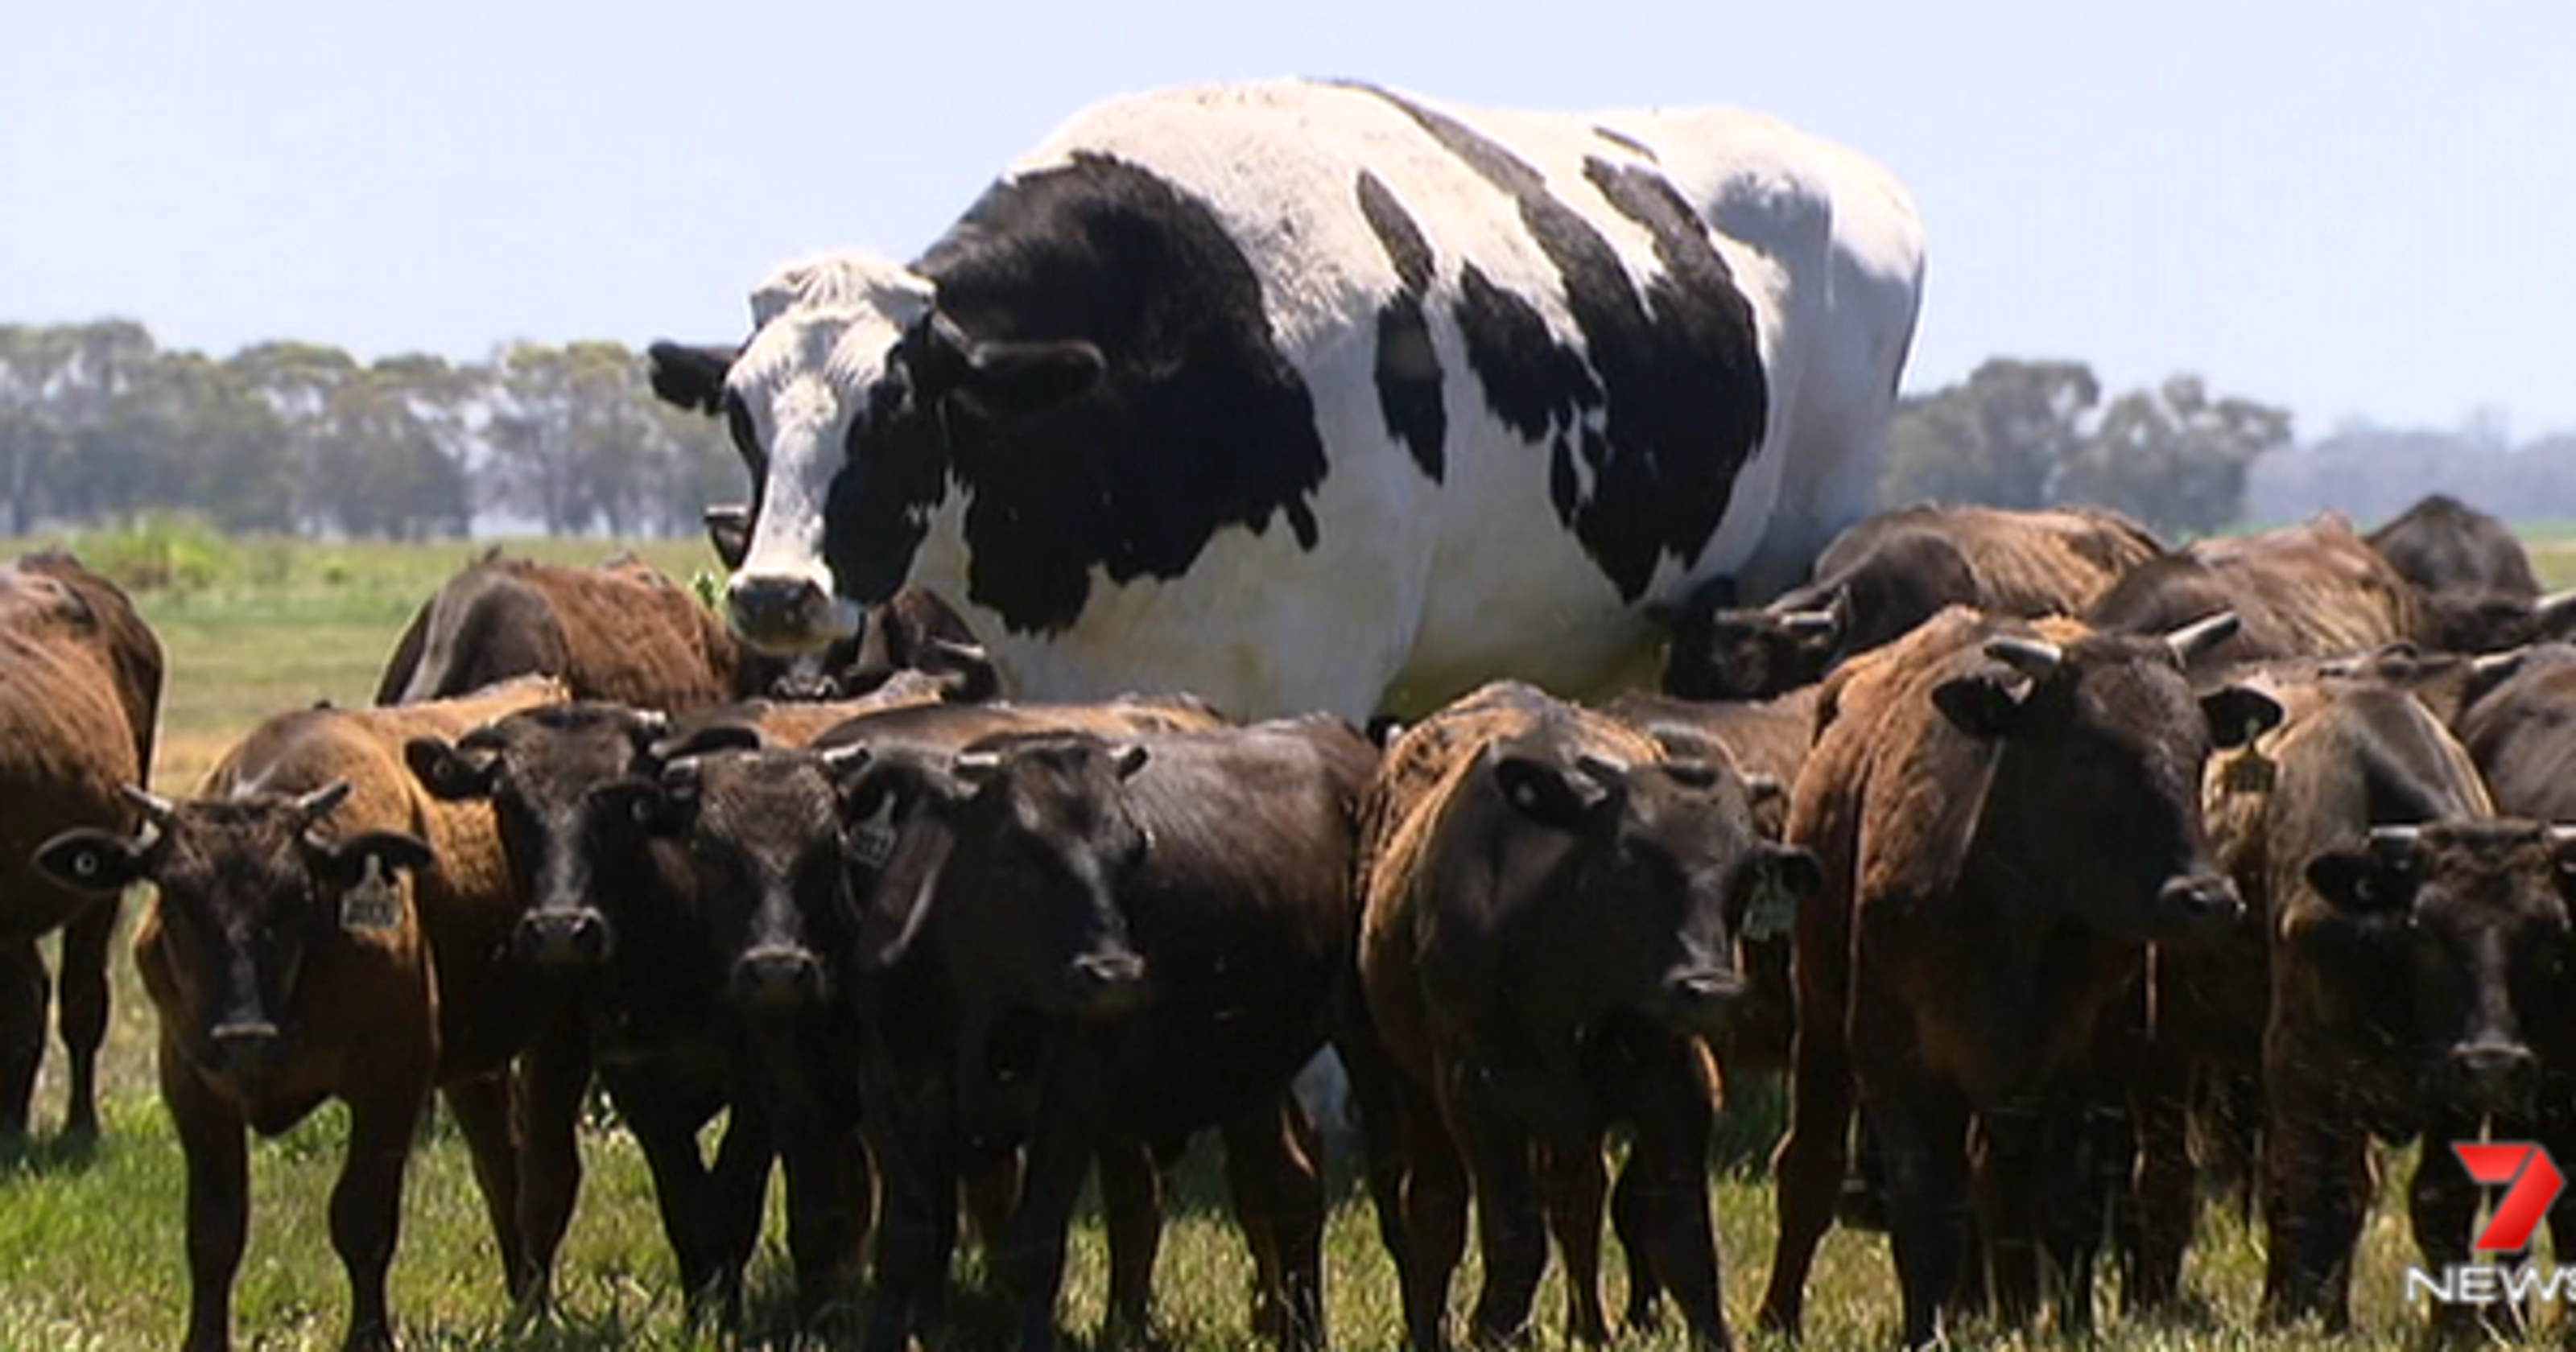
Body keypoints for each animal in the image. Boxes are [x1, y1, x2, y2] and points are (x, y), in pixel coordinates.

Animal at [31, 676, 569, 1352]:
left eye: (297, 895)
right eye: (176, 897)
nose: (243, 1034)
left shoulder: (391, 1083)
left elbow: (362, 1219)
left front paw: (369, 1336)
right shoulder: (193, 1085)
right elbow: (214, 1230)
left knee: (541, 1171)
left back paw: (537, 1306)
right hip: (477, 1066)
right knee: (501, 1162)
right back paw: (521, 1303)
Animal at [1356, 681, 1818, 1351]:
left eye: (1746, 878)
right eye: (1628, 860)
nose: (1709, 989)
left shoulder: (1676, 1080)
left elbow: (1684, 1244)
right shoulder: (1476, 1092)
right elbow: (1514, 1240)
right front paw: (1491, 1327)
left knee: (1577, 1201)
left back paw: (1590, 1330)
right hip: (1411, 1083)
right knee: (1436, 1210)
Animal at [1756, 608, 2279, 1347]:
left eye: (2199, 750)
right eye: (2087, 755)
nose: (2205, 898)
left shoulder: (2082, 1064)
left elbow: (2066, 1202)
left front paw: (2072, 1325)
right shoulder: (1897, 1060)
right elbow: (1924, 1208)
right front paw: (1925, 1331)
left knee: (2000, 1184)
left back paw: (2003, 1308)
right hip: (1823, 1013)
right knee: (1810, 1165)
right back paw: (1782, 1316)